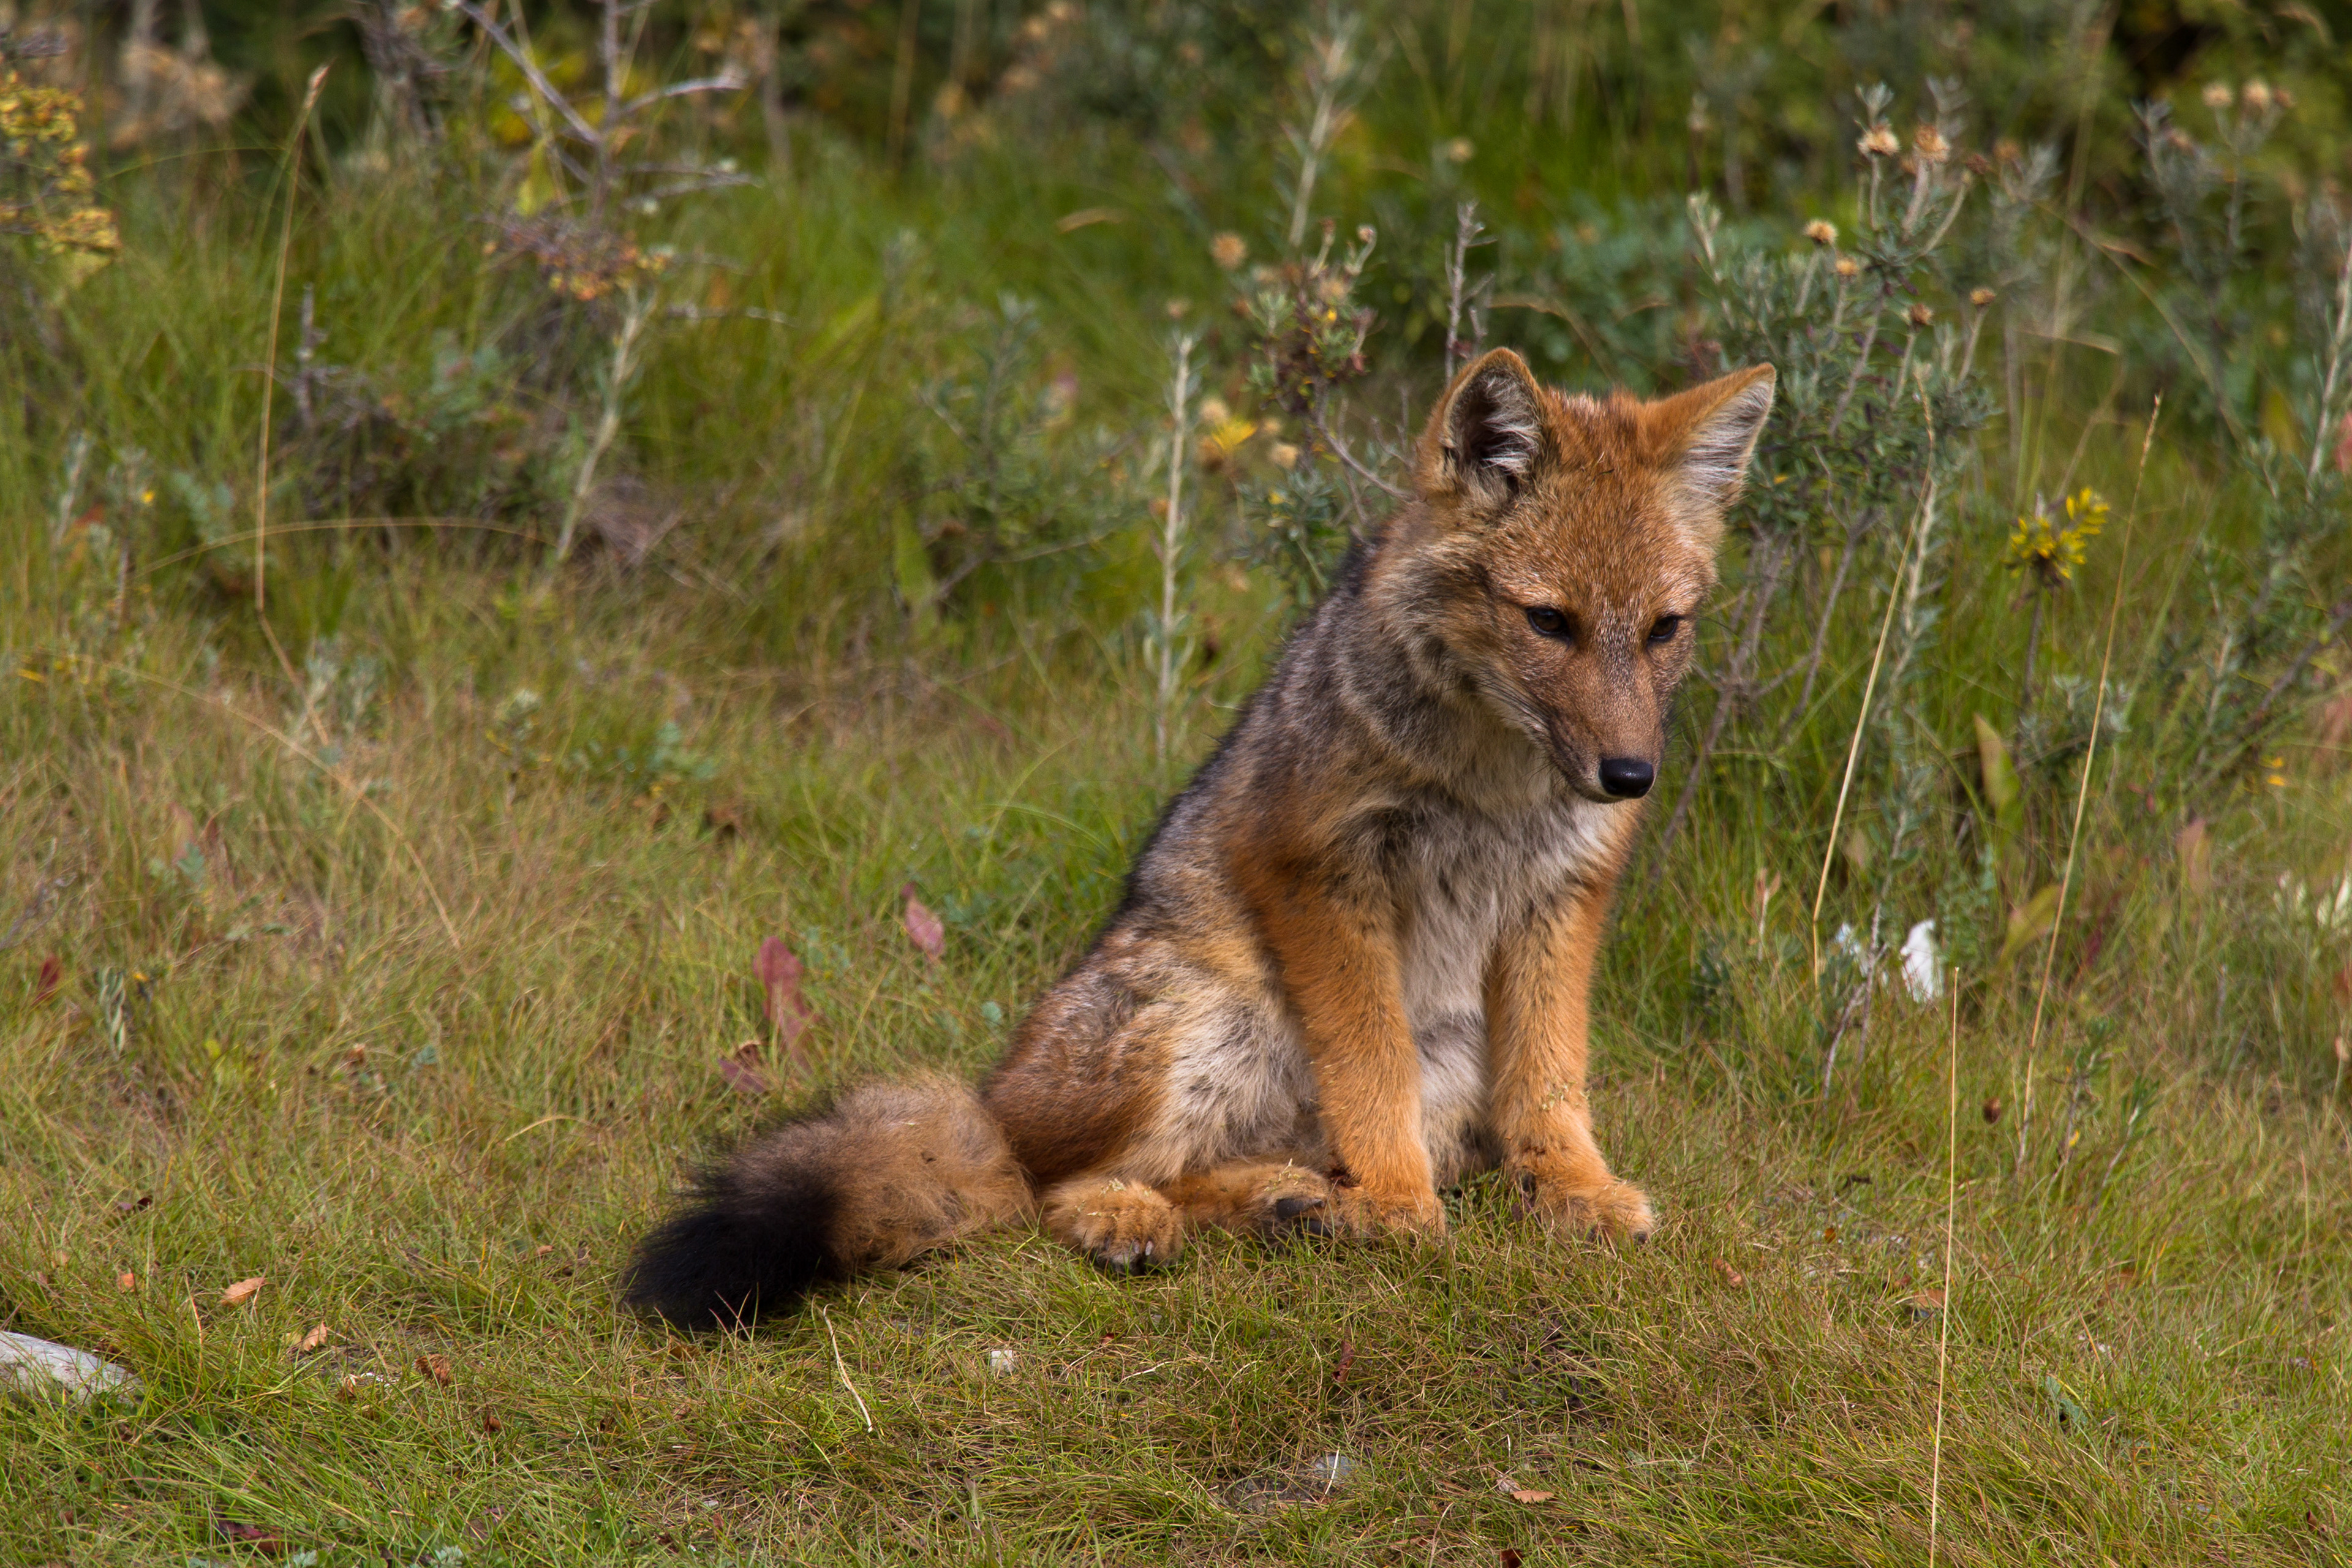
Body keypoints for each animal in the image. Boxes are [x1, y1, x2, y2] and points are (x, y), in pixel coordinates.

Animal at [624, 348, 1776, 1327]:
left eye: (1663, 629)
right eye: (1549, 622)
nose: (1629, 776)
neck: (1493, 786)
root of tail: (989, 1101)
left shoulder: (1561, 898)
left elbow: (1552, 1075)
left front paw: (1573, 1186)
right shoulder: (1315, 867)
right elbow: (1372, 1067)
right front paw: (1400, 1204)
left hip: (1437, 1058)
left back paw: (1292, 1202)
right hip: (1213, 1014)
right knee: (1048, 1187)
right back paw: (1153, 1213)